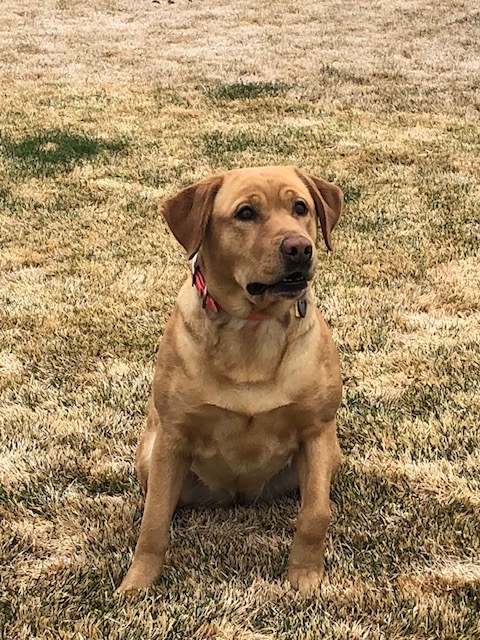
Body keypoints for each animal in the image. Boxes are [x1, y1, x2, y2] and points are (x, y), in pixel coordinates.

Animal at [118, 165, 344, 596]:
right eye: (245, 213)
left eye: (300, 207)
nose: (300, 248)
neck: (252, 326)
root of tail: (237, 496)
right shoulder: (172, 438)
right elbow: (153, 522)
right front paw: (137, 584)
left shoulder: (318, 432)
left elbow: (315, 514)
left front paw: (305, 576)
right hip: (149, 454)